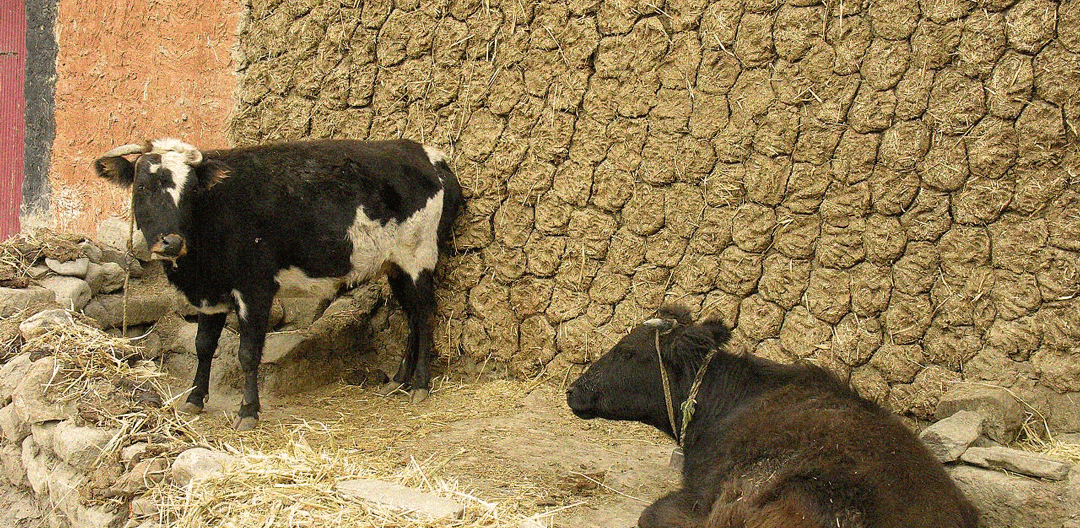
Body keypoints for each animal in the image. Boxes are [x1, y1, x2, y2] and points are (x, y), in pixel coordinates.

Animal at [93, 138, 464, 430]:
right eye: (142, 188)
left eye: (191, 193)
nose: (170, 242)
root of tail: (426, 154)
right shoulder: (211, 293)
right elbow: (203, 346)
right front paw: (195, 399)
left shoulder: (255, 288)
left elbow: (247, 353)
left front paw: (248, 411)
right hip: (396, 266)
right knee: (412, 317)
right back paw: (400, 380)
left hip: (418, 256)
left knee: (425, 315)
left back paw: (420, 384)